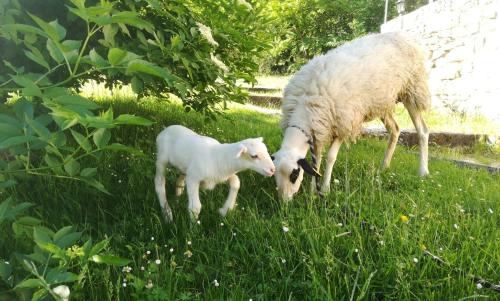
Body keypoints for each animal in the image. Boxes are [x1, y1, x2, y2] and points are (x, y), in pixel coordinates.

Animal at [272, 31, 432, 200]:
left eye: (294, 175)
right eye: (274, 175)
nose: (285, 202)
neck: (306, 107)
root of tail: (403, 36)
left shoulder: (343, 123)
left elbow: (330, 157)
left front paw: (325, 189)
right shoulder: (320, 129)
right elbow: (316, 160)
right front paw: (313, 191)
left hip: (412, 90)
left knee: (423, 131)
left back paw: (423, 171)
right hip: (383, 102)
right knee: (395, 129)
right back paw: (384, 167)